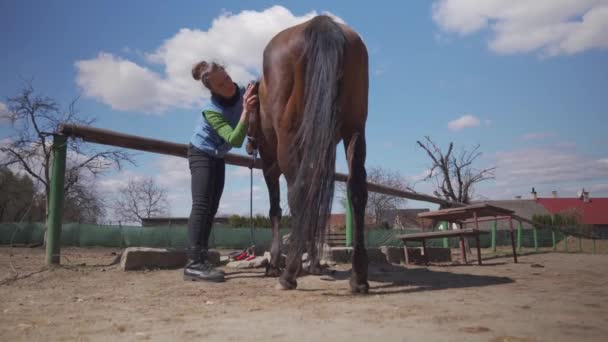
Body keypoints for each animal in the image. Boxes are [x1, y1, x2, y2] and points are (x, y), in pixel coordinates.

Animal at [247, 15, 370, 294]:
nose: (249, 146)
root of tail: (322, 23)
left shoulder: (270, 164)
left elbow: (276, 209)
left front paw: (275, 262)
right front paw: (314, 262)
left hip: (287, 140)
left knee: (299, 193)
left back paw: (288, 274)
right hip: (355, 128)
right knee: (356, 189)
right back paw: (358, 277)